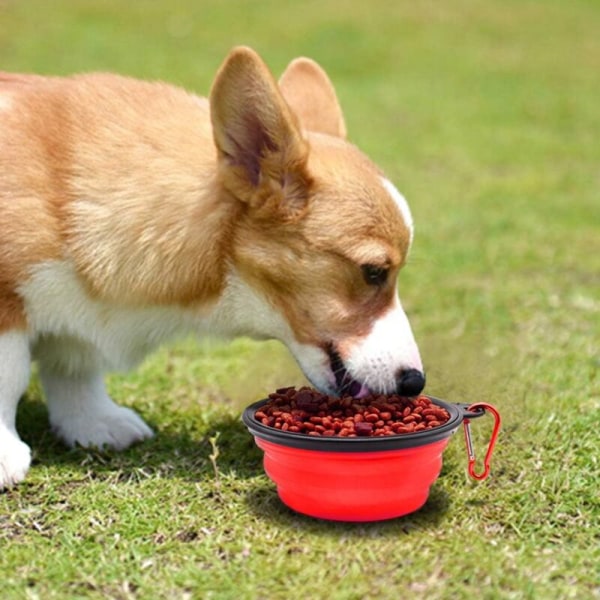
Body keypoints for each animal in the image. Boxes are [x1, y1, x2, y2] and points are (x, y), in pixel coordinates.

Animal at [0, 45, 424, 488]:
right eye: (373, 271)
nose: (416, 382)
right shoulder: (7, 301)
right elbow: (10, 374)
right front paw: (6, 455)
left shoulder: (77, 319)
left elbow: (74, 366)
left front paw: (94, 423)